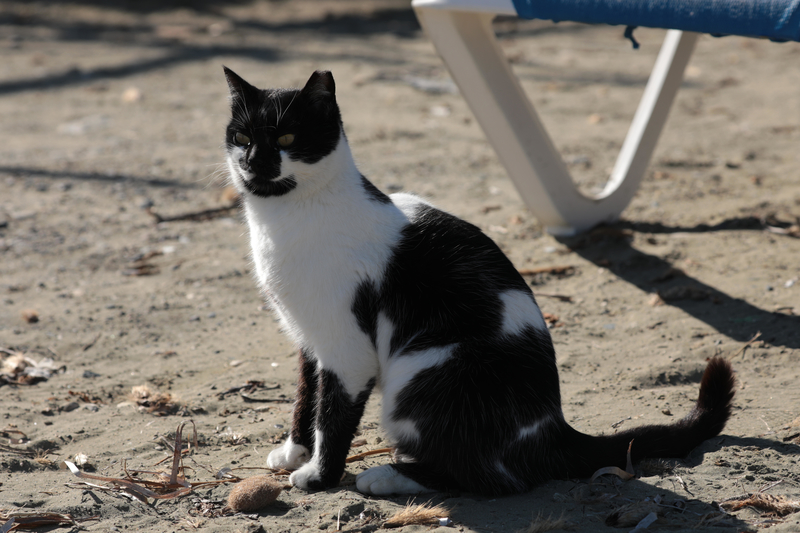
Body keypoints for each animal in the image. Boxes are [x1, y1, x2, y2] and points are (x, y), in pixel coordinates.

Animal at [222, 68, 736, 496]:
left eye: (288, 136)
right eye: (241, 136)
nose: (254, 161)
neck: (285, 219)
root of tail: (554, 427)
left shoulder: (347, 348)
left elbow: (333, 414)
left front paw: (319, 476)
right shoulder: (310, 336)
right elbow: (306, 395)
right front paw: (296, 451)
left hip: (421, 371)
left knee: (495, 480)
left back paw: (389, 476)